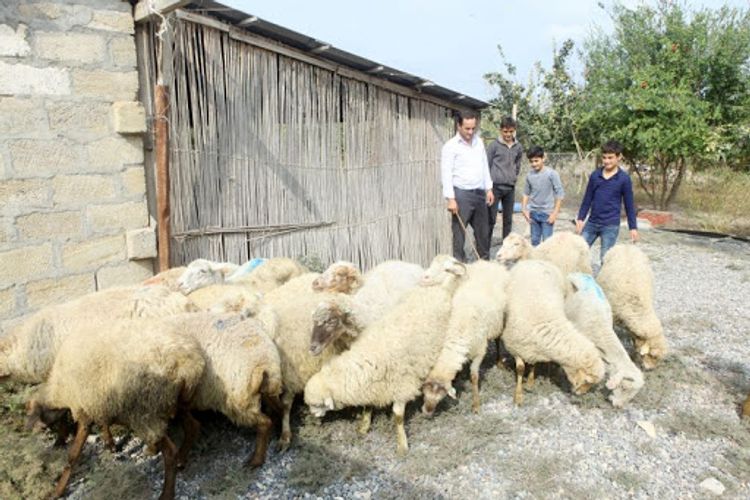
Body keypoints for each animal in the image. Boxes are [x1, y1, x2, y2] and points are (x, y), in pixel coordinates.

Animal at [26, 318, 206, 498]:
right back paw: (181, 460)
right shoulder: (99, 401)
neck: (60, 392)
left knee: (169, 452)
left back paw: (166, 493)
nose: (56, 445)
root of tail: (189, 365)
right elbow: (104, 423)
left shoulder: (84, 411)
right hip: (175, 403)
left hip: (147, 412)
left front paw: (58, 490)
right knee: (193, 426)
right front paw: (110, 444)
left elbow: (73, 456)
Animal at [424, 260, 512, 416]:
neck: (460, 329)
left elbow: (474, 376)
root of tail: (490, 263)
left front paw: (476, 405)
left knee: (497, 339)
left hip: (499, 320)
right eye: (425, 391)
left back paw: (499, 360)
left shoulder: (479, 352)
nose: (427, 411)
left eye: (441, 395)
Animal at [502, 260, 608, 404]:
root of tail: (536, 261)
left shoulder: (533, 349)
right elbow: (520, 369)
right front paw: (518, 395)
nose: (580, 394)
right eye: (588, 380)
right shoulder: (514, 346)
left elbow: (533, 364)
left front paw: (530, 383)